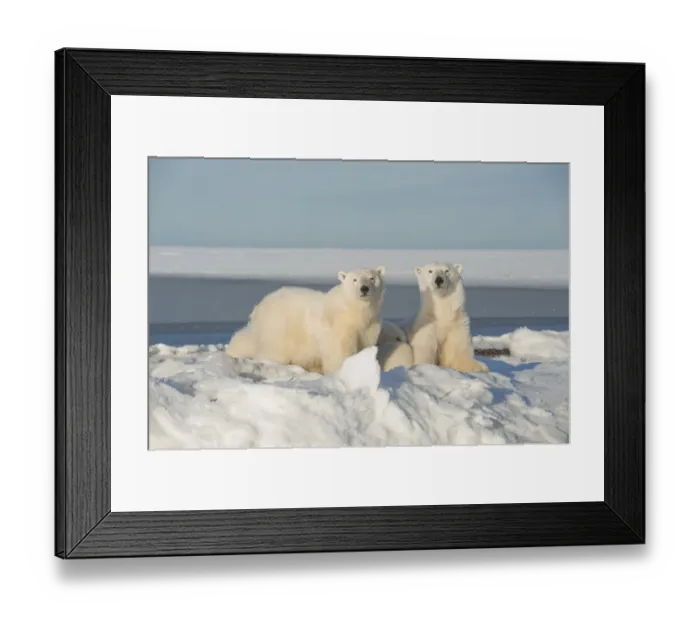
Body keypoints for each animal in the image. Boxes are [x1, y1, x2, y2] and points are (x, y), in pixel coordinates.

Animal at [225, 267, 386, 375]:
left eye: (372, 278)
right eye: (354, 280)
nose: (364, 288)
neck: (354, 312)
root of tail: (259, 306)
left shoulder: (369, 327)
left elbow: (365, 346)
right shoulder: (339, 327)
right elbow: (340, 351)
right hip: (280, 327)